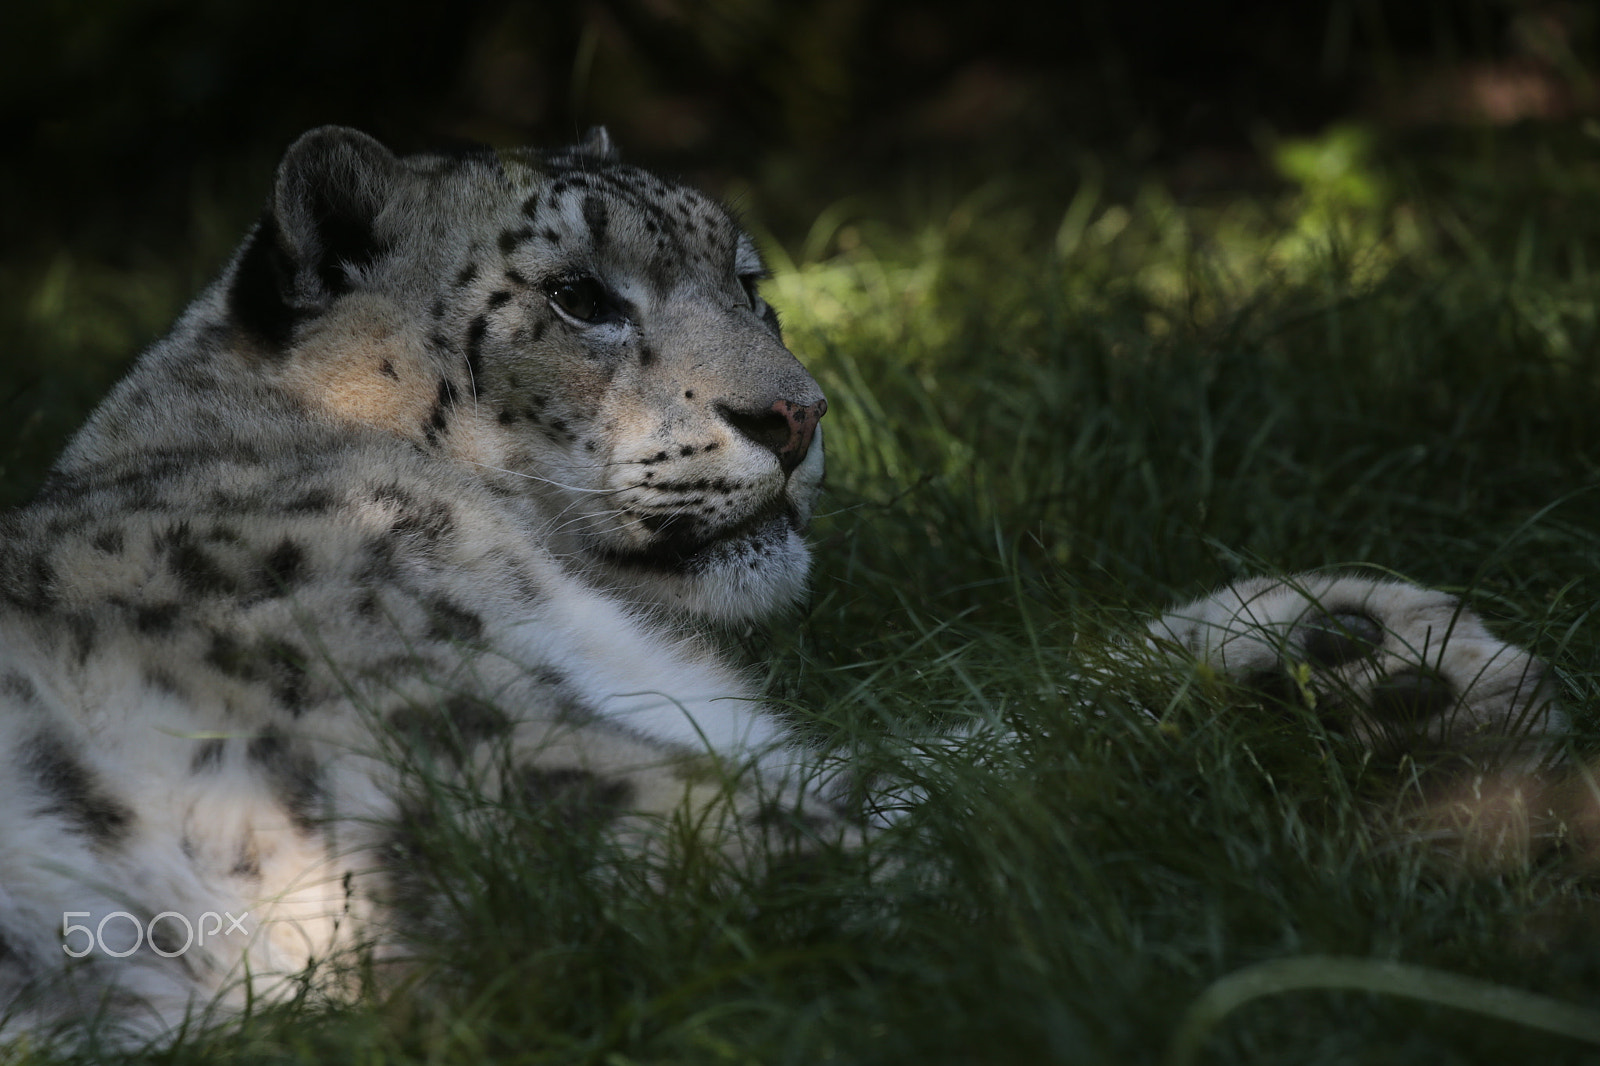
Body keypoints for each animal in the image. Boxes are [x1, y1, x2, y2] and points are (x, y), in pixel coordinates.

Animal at [0, 126, 1563, 1046]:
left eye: (752, 280)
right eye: (579, 297)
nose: (799, 417)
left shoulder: (694, 714)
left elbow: (973, 723)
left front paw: (1381, 645)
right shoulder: (503, 764)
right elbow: (942, 813)